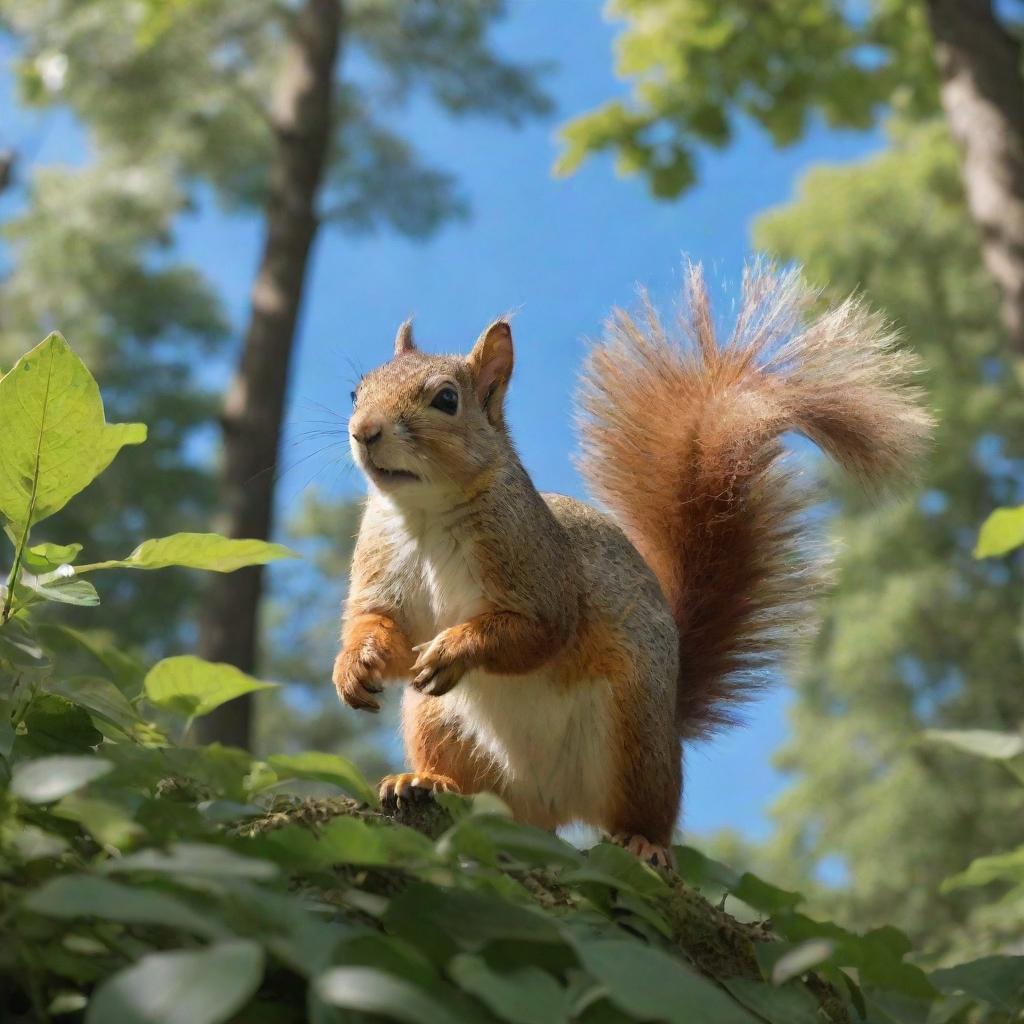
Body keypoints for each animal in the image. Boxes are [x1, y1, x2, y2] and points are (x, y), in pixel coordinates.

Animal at [331, 262, 933, 864]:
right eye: (357, 390)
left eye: (446, 400)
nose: (364, 432)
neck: (426, 515)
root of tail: (544, 807)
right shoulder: (382, 565)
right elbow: (376, 622)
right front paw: (353, 666)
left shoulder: (536, 568)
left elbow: (537, 631)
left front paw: (454, 648)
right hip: (439, 721)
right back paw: (425, 779)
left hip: (633, 730)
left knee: (645, 809)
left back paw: (644, 842)